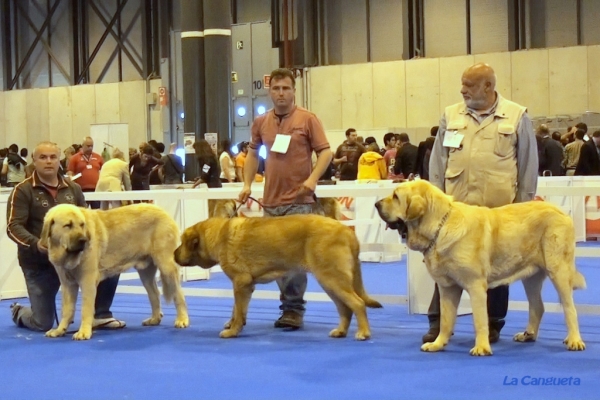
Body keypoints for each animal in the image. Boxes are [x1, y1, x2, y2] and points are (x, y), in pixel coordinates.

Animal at [39, 205, 189, 340]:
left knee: (178, 294)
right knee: (154, 294)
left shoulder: (87, 282)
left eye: (82, 225)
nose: (84, 240)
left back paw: (182, 319)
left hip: (166, 266)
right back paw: (155, 319)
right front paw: (59, 330)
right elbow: (67, 310)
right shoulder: (67, 285)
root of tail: (163, 212)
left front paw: (84, 332)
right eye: (68, 226)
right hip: (146, 273)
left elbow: (86, 310)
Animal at [173, 214, 380, 340]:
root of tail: (347, 231)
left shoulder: (241, 283)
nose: (174, 254)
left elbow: (238, 311)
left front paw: (233, 331)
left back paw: (363, 332)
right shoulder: (243, 286)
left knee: (358, 303)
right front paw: (234, 325)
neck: (218, 235)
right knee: (345, 308)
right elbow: (237, 309)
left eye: (182, 242)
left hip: (332, 278)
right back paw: (341, 331)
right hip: (330, 282)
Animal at [376, 180, 584, 354]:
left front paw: (482, 347)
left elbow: (479, 319)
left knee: (570, 308)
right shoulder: (447, 287)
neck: (439, 227)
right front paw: (437, 343)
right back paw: (528, 335)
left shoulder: (476, 286)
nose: (376, 204)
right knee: (537, 307)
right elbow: (446, 320)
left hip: (558, 271)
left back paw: (574, 340)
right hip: (531, 277)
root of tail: (562, 213)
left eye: (396, 196)